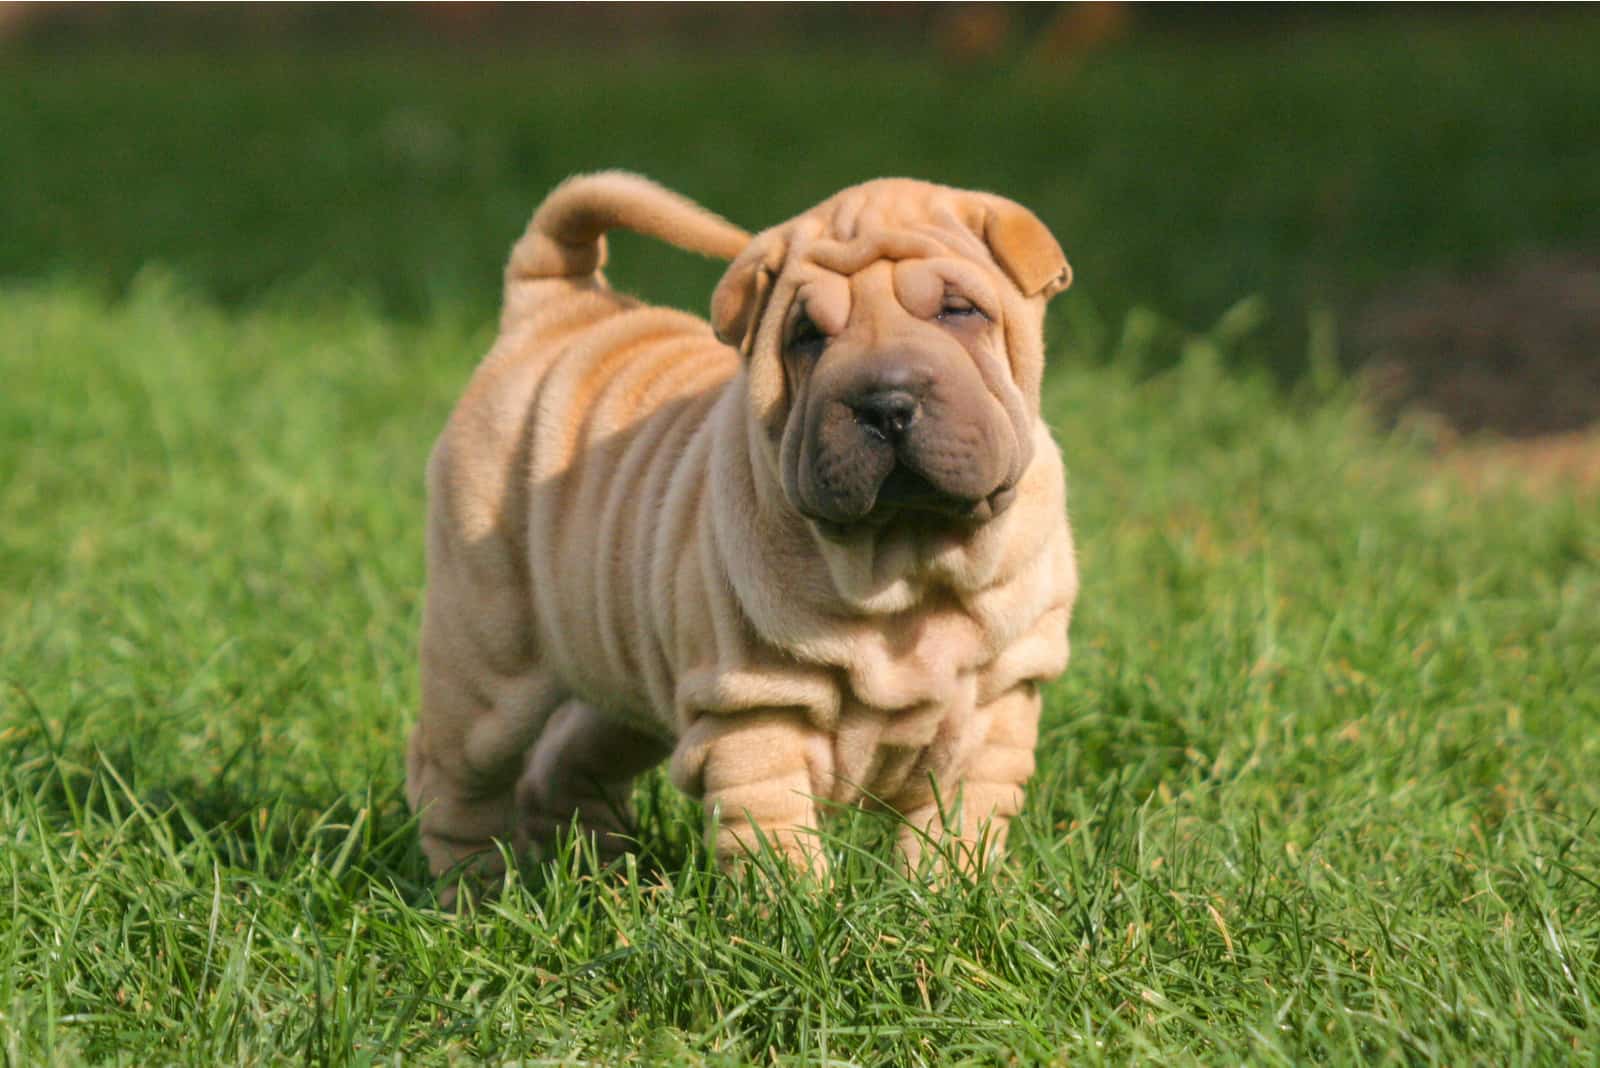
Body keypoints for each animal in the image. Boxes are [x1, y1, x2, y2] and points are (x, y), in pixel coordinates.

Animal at [406, 171, 1081, 882]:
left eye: (959, 312)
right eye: (807, 335)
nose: (885, 404)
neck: (905, 560)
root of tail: (552, 309)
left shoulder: (996, 708)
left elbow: (956, 828)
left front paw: (947, 894)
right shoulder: (755, 711)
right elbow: (774, 838)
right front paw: (801, 906)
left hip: (620, 666)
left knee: (571, 759)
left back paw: (603, 874)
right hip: (486, 664)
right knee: (455, 778)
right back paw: (475, 886)